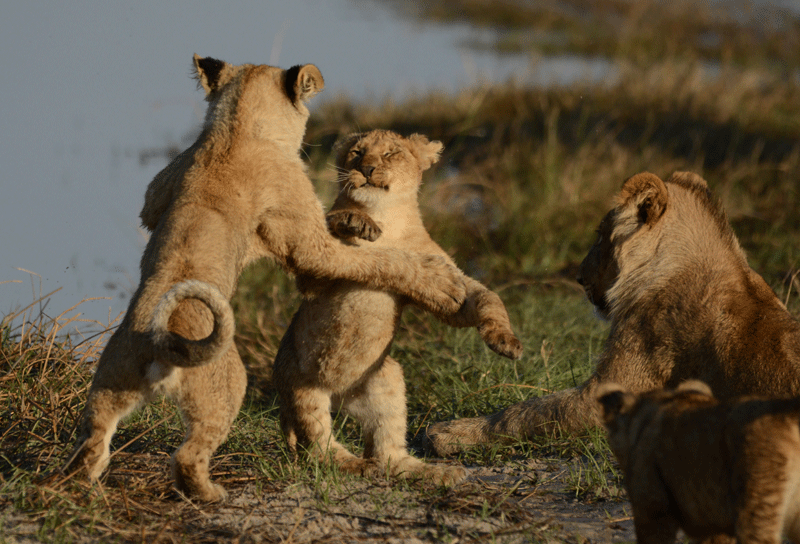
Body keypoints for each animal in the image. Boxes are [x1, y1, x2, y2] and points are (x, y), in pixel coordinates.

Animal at [66, 56, 468, 501]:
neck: (235, 127)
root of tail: (158, 340)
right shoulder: (308, 243)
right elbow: (376, 259)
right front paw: (439, 279)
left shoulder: (156, 194)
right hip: (228, 386)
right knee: (191, 454)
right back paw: (212, 493)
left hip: (108, 382)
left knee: (93, 440)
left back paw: (71, 486)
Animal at [272, 130, 522, 485]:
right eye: (356, 152)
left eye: (391, 153)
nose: (366, 168)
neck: (387, 217)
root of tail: (339, 396)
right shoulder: (312, 275)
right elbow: (371, 251)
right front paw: (355, 222)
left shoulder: (456, 283)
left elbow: (487, 298)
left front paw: (505, 341)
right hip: (302, 389)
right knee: (318, 448)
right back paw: (352, 464)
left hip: (386, 378)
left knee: (386, 450)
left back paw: (433, 471)